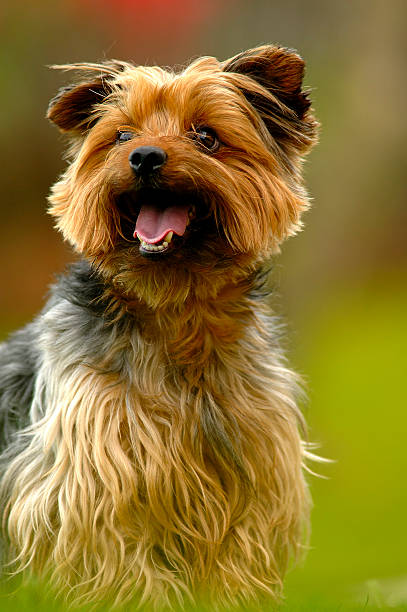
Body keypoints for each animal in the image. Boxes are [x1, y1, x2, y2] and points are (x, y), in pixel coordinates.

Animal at [0, 45, 318, 608]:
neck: (176, 308)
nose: (144, 156)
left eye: (206, 136)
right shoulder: (93, 479)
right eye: (121, 136)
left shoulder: (254, 475)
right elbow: (120, 562)